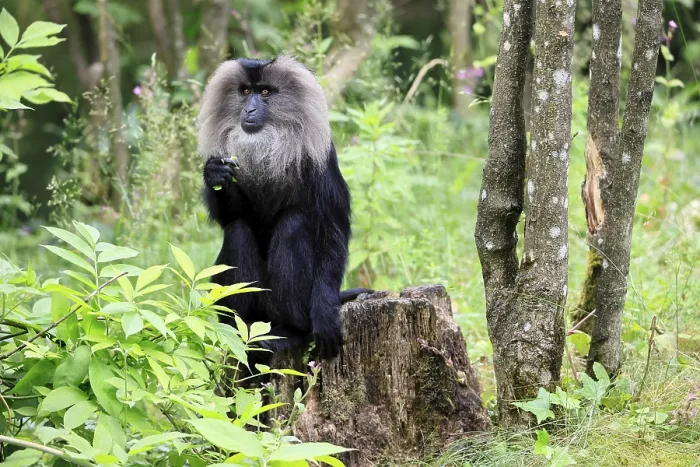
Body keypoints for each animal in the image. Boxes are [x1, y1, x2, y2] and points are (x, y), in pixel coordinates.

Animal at [197, 56, 372, 365]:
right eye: (245, 92)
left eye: (265, 92)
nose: (249, 109)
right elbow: (231, 217)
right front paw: (215, 173)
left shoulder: (321, 159)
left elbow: (332, 233)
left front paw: (325, 316)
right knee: (238, 230)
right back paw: (242, 331)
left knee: (293, 223)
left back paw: (291, 330)